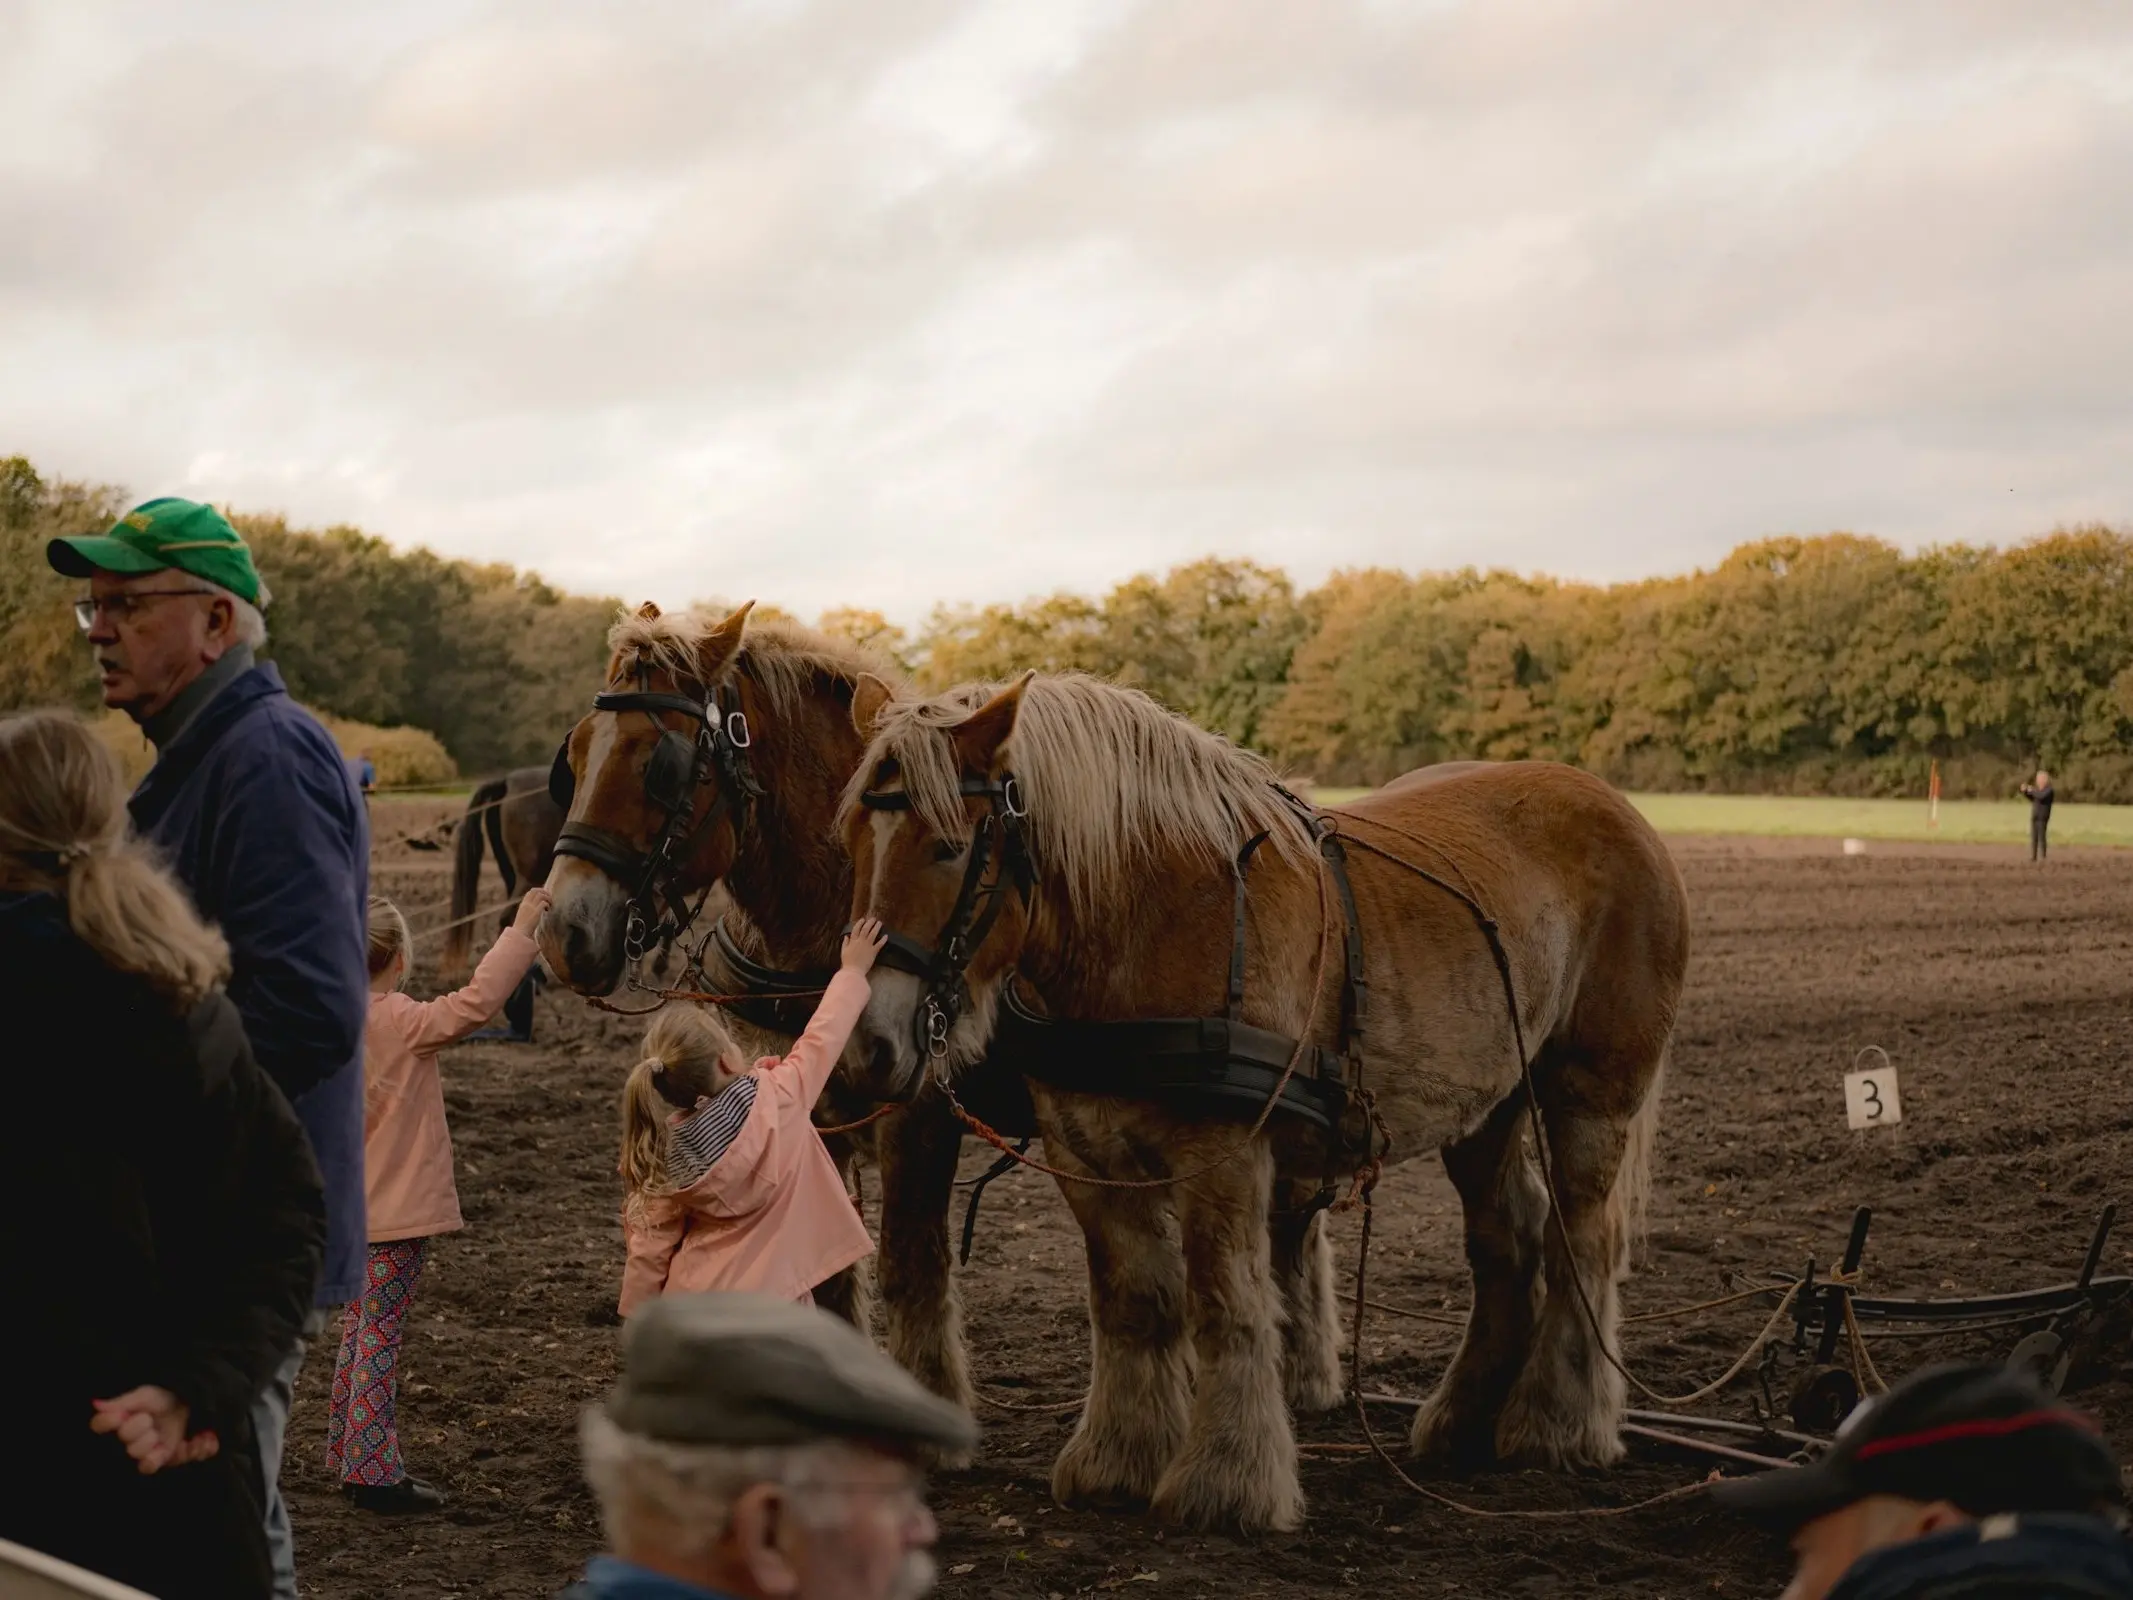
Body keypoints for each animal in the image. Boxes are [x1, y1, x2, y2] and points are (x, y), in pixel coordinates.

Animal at [541, 605, 989, 1425]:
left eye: (658, 764)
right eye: (576, 755)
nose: (560, 935)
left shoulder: (920, 1117)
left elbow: (912, 1270)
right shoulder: (806, 1108)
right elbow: (832, 1272)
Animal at [840, 669, 1689, 1536]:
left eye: (949, 847)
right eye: (851, 842)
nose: (866, 1045)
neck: (1152, 919)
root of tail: (1609, 802)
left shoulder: (1223, 1153)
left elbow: (1225, 1298)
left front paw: (1226, 1481)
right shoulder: (1086, 1154)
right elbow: (1133, 1301)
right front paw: (1118, 1460)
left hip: (1589, 1091)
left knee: (1578, 1239)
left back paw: (1557, 1422)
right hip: (1487, 1102)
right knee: (1507, 1239)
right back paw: (1460, 1417)